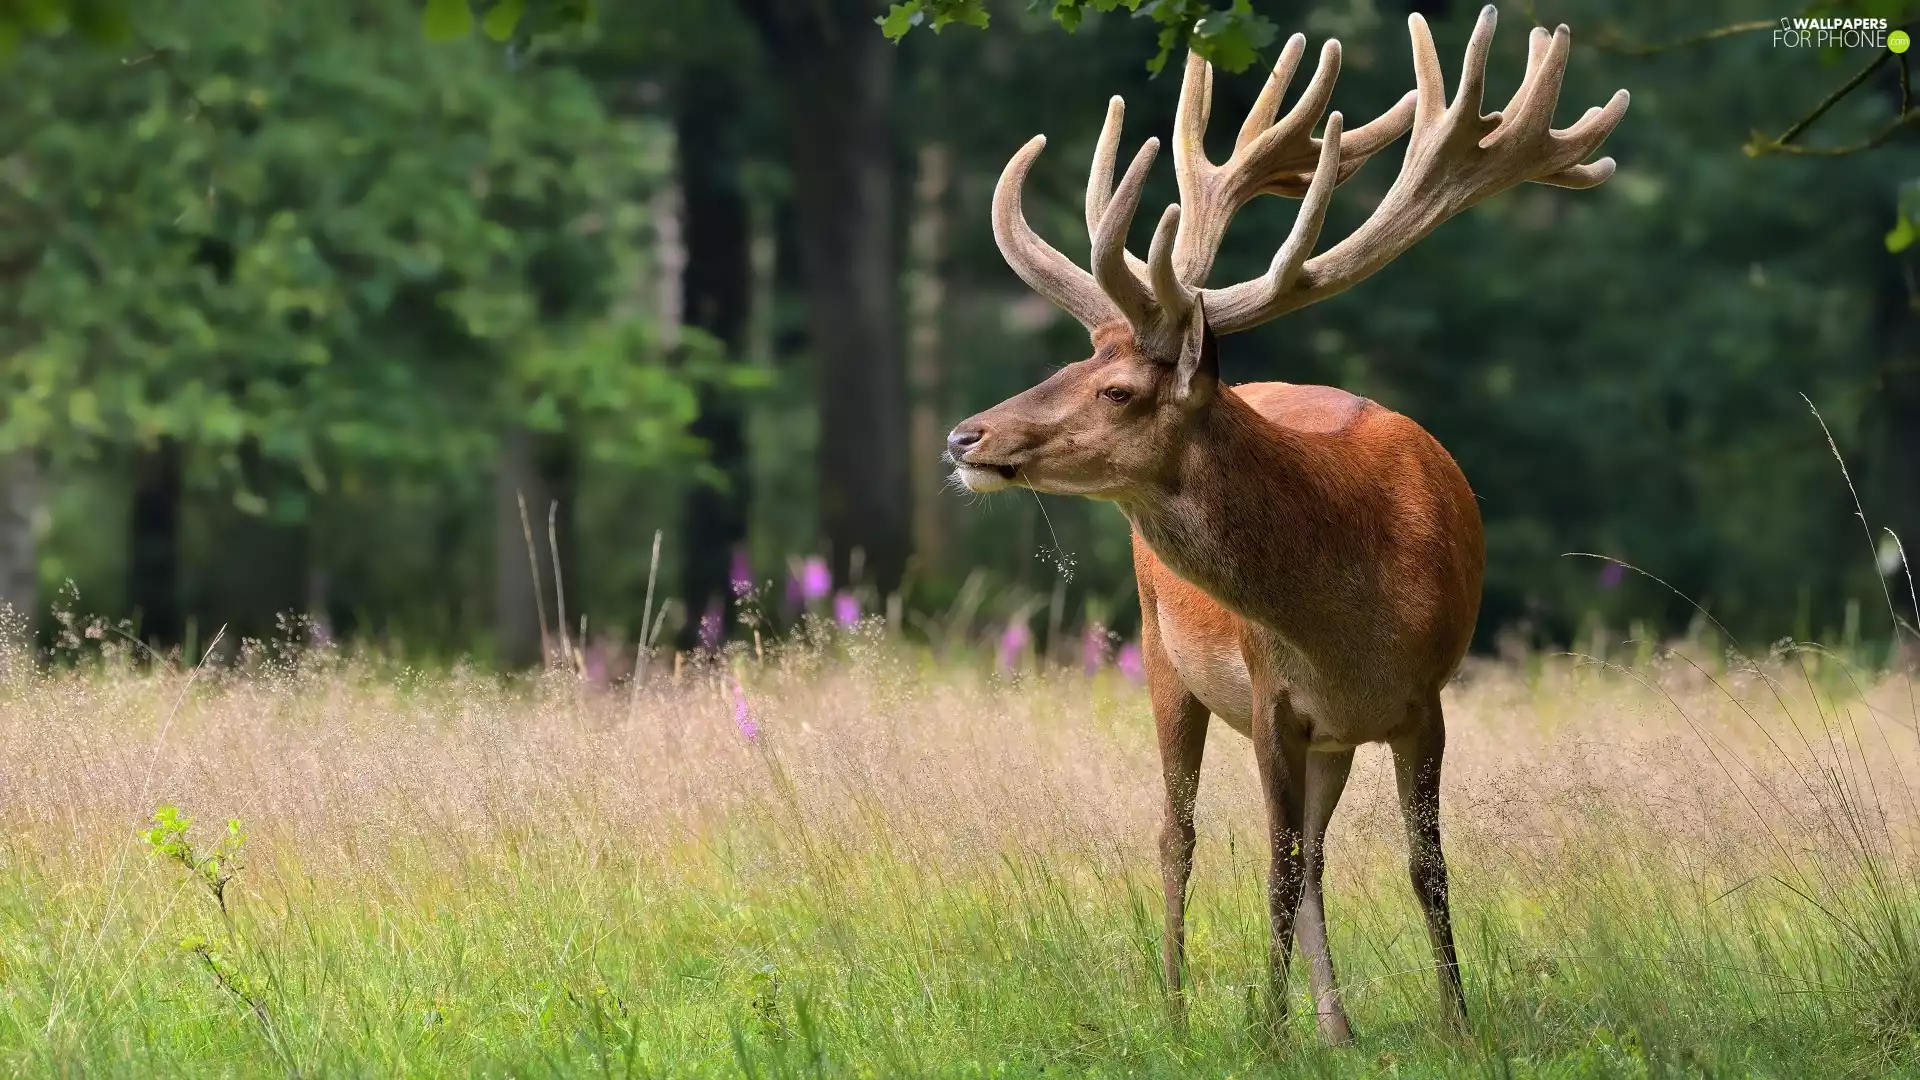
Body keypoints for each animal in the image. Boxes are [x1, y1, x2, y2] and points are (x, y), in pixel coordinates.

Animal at [945, 6, 1627, 1044]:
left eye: (1115, 387)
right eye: (1070, 360)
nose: (964, 436)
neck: (1348, 616)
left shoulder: (1424, 701)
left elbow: (1422, 868)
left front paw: (1457, 1024)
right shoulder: (1273, 697)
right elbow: (1273, 868)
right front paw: (1264, 1033)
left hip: (1328, 738)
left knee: (1308, 850)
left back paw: (1334, 1024)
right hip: (1161, 651)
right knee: (1178, 833)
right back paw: (1179, 1008)